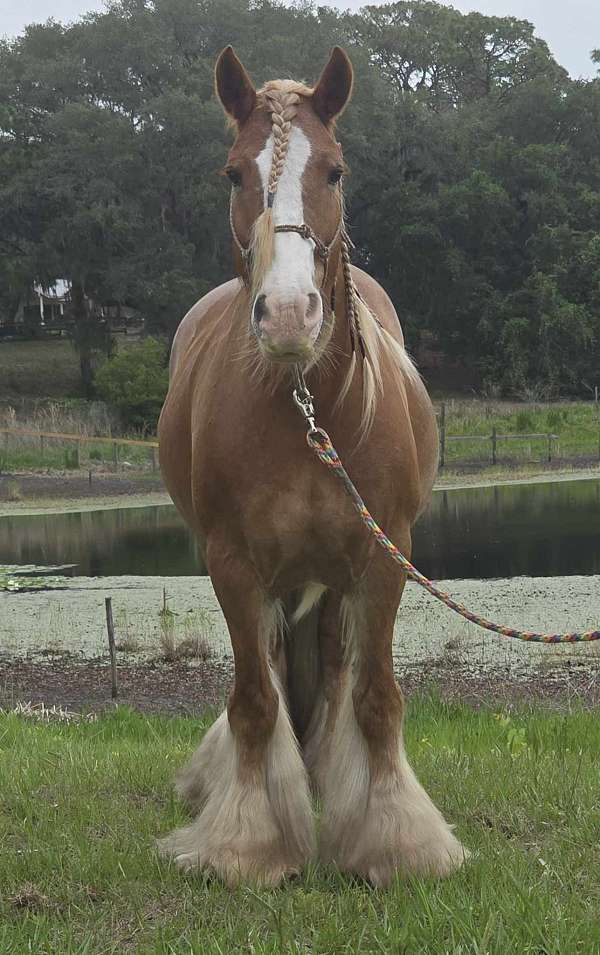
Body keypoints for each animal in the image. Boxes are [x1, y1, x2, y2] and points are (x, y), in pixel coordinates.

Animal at [157, 45, 468, 887]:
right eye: (235, 172)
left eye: (334, 170)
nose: (291, 313)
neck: (303, 406)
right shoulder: (232, 561)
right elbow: (255, 701)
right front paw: (246, 842)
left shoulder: (383, 556)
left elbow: (376, 698)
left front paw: (397, 840)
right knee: (267, 673)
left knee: (331, 669)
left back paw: (331, 776)